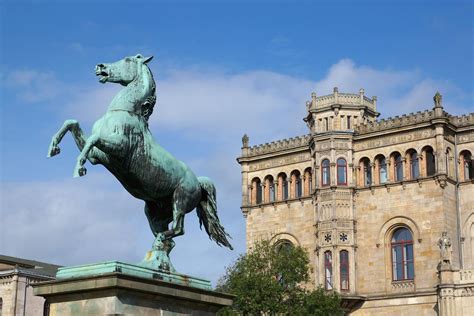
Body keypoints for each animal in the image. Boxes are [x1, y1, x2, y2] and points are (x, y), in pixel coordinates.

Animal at [47, 54, 233, 260]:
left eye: (127, 59)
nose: (100, 66)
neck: (125, 111)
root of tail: (199, 182)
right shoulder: (99, 156)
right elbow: (73, 124)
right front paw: (53, 148)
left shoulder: (119, 147)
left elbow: (92, 139)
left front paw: (79, 168)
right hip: (153, 212)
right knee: (171, 239)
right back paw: (157, 251)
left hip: (179, 202)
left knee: (178, 229)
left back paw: (160, 243)